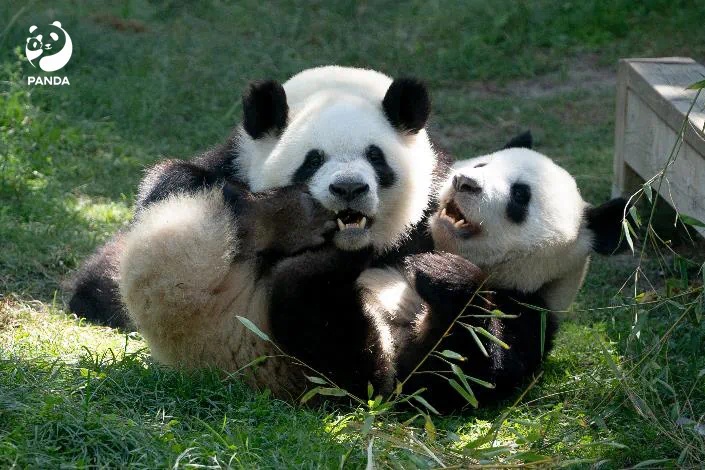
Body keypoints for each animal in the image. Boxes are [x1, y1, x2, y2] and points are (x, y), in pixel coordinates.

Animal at [113, 66, 450, 400]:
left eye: (375, 156)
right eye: (313, 160)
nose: (349, 188)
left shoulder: (433, 207)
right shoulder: (229, 164)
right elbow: (174, 180)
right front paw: (291, 217)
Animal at [357, 138, 629, 411]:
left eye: (520, 194)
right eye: (481, 165)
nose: (464, 182)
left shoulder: (530, 315)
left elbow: (451, 378)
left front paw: (445, 273)